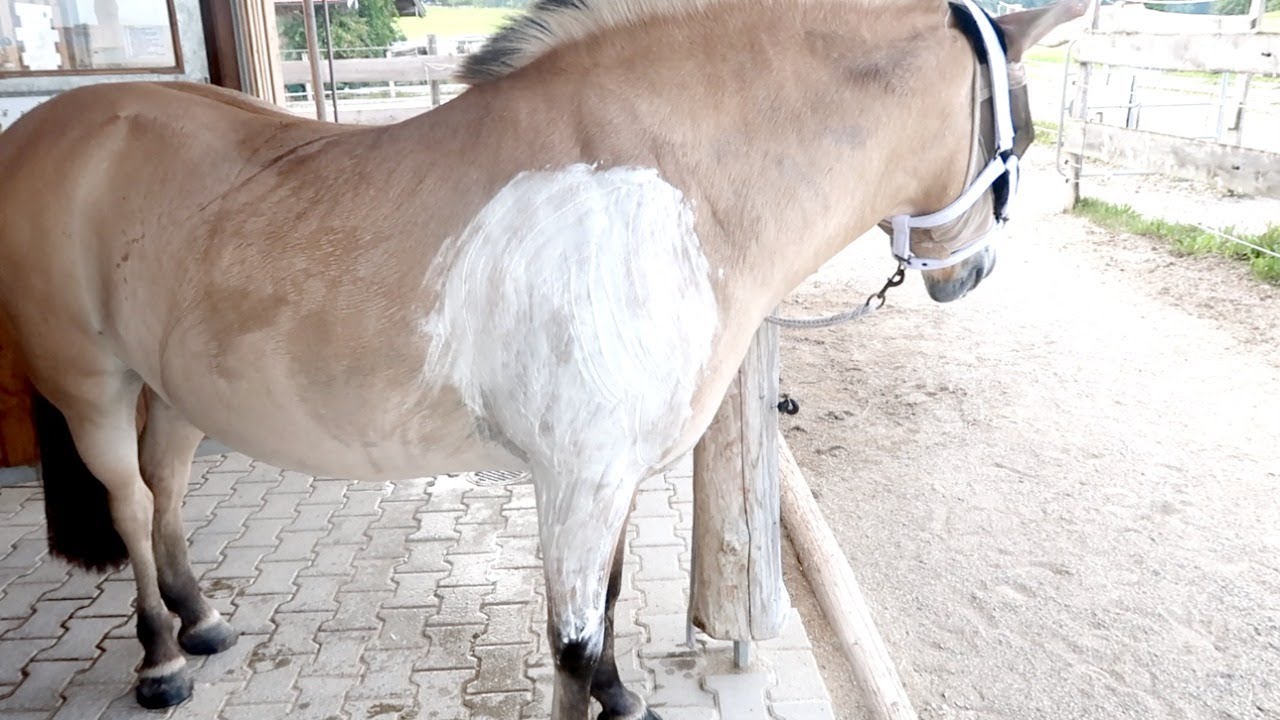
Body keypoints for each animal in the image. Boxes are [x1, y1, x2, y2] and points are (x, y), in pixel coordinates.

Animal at [0, 0, 1085, 716]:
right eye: (1025, 132)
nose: (971, 272)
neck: (669, 186)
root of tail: (45, 129)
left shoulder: (610, 478)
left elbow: (602, 606)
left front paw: (621, 697)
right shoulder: (579, 478)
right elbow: (570, 644)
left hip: (174, 388)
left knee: (167, 491)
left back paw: (202, 618)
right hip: (94, 387)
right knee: (130, 502)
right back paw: (161, 660)